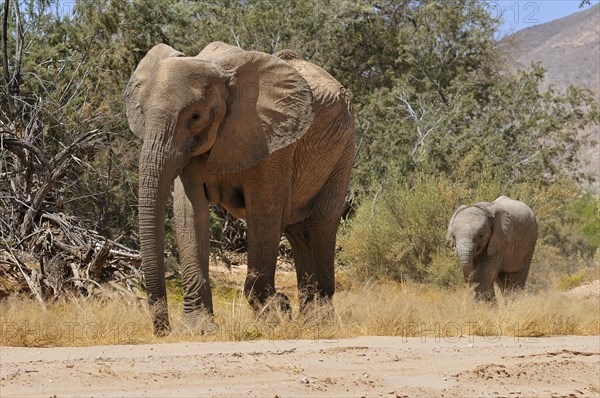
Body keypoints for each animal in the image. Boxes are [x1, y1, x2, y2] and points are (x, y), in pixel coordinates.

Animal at [124, 42, 354, 336]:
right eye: (142, 111)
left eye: (195, 116)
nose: (164, 330)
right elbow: (189, 213)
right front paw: (199, 329)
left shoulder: (273, 141)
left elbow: (265, 213)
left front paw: (275, 315)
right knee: (298, 231)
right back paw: (308, 320)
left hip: (343, 147)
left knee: (321, 223)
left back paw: (319, 324)